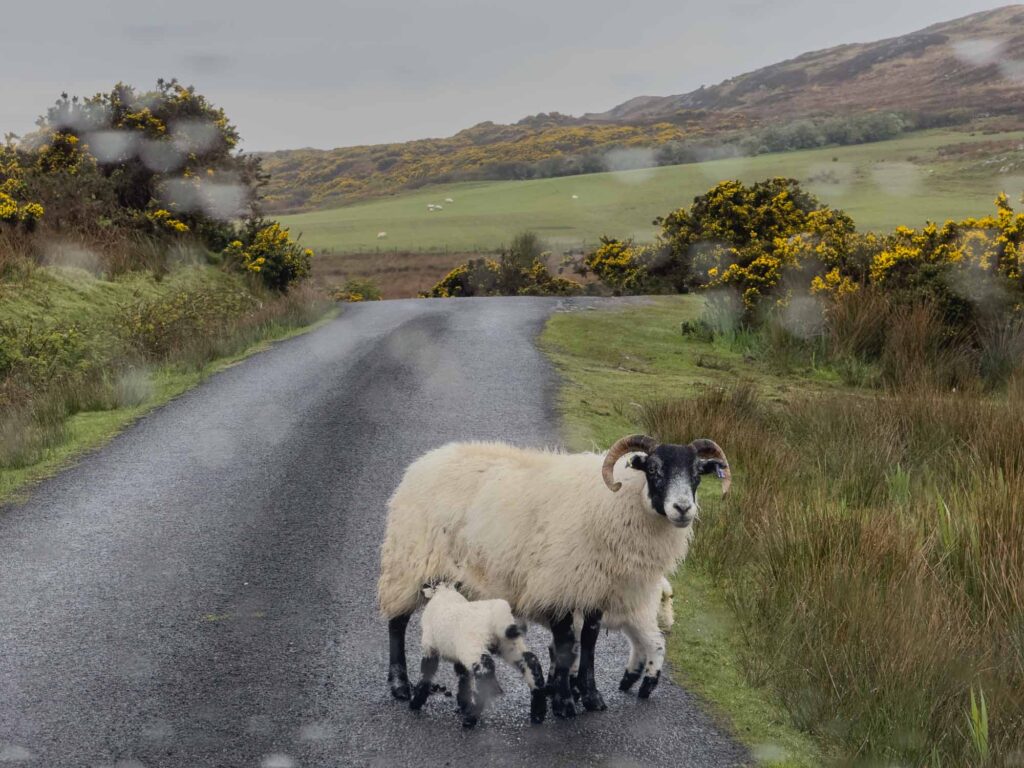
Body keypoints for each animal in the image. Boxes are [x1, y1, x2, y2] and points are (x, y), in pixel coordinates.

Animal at [409, 581, 548, 729]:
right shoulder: (458, 656)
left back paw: (471, 718)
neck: (445, 593)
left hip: (473, 646)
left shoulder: (429, 647)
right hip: (509, 644)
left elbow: (426, 673)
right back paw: (538, 712)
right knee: (530, 661)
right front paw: (462, 702)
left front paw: (416, 702)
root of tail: (498, 613)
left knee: (485, 669)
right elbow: (463, 676)